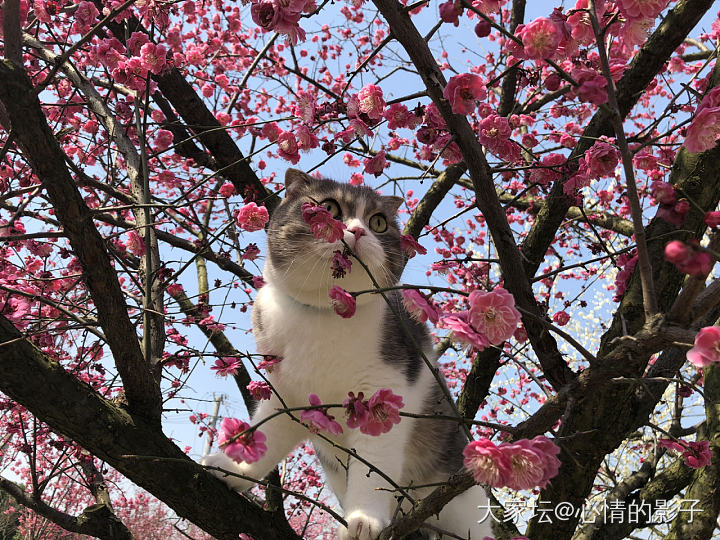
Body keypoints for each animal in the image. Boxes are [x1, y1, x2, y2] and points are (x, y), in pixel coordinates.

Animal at [202, 170, 496, 540]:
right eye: (329, 208)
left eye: (379, 222)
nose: (357, 231)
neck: (326, 314)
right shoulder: (285, 392)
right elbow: (266, 432)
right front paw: (230, 467)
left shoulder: (387, 386)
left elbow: (373, 462)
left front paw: (363, 520)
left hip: (459, 497)